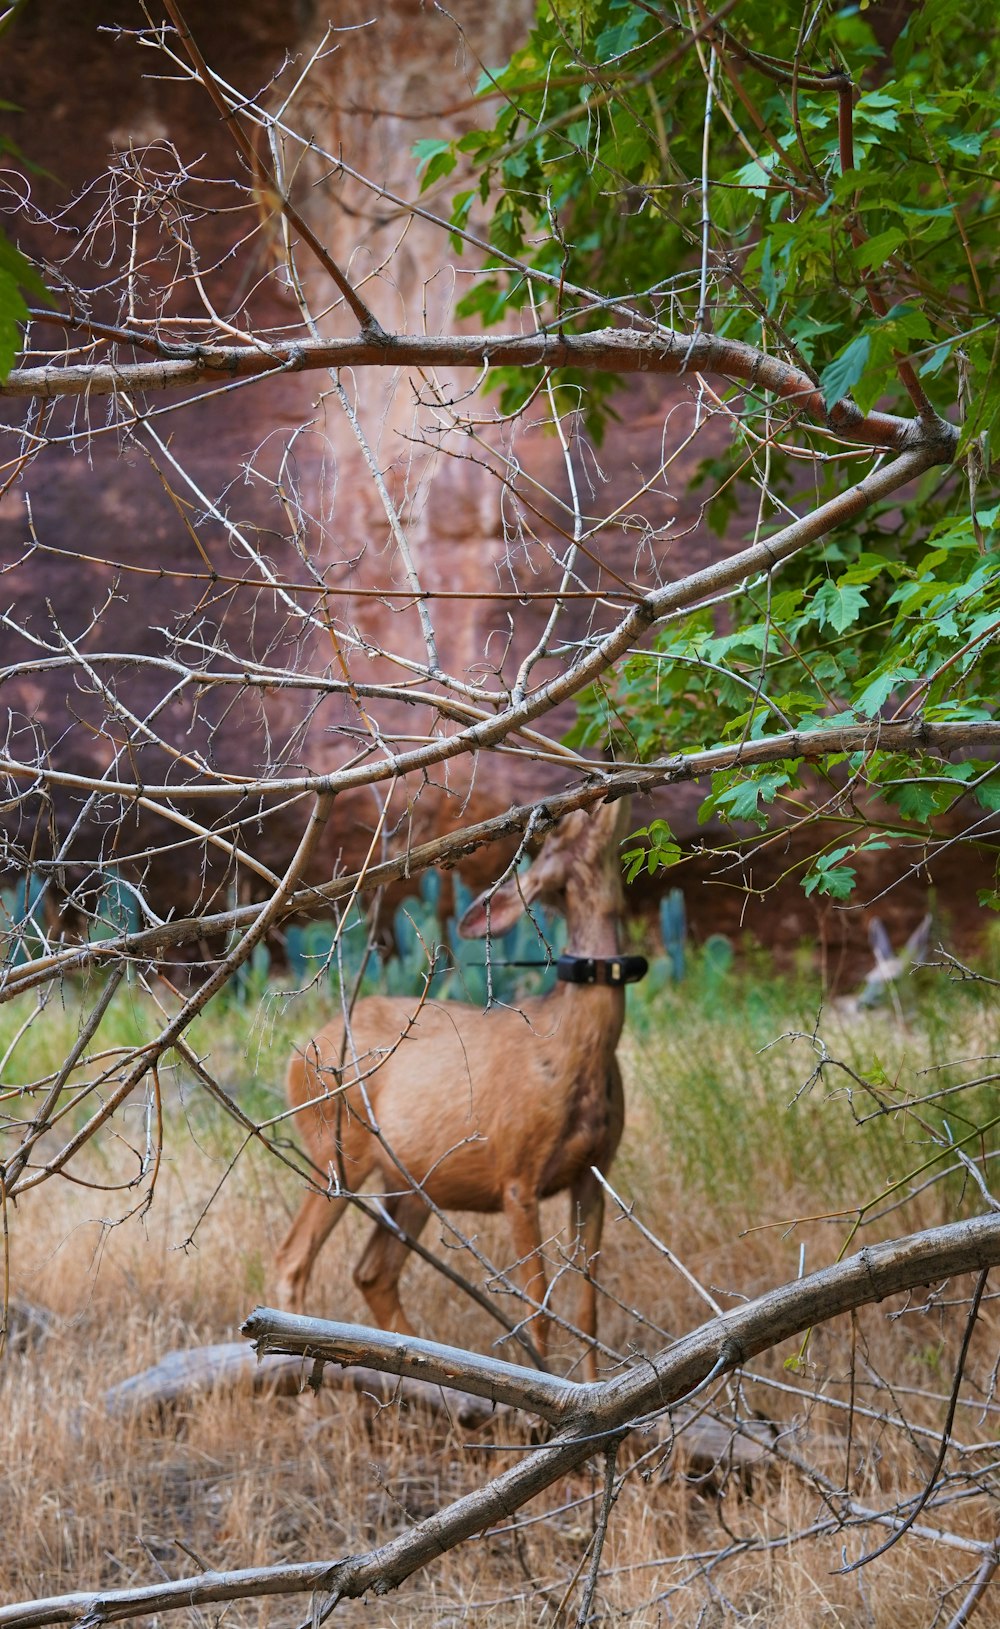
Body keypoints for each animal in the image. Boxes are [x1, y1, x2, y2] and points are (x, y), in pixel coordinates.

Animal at [273, 794, 651, 1381]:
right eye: (567, 828)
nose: (596, 790)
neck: (571, 1045)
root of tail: (299, 1051)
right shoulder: (517, 1174)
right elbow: (538, 1309)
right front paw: (541, 1391)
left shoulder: (594, 1171)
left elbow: (587, 1307)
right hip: (336, 1148)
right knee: (293, 1259)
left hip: (410, 1181)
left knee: (372, 1272)